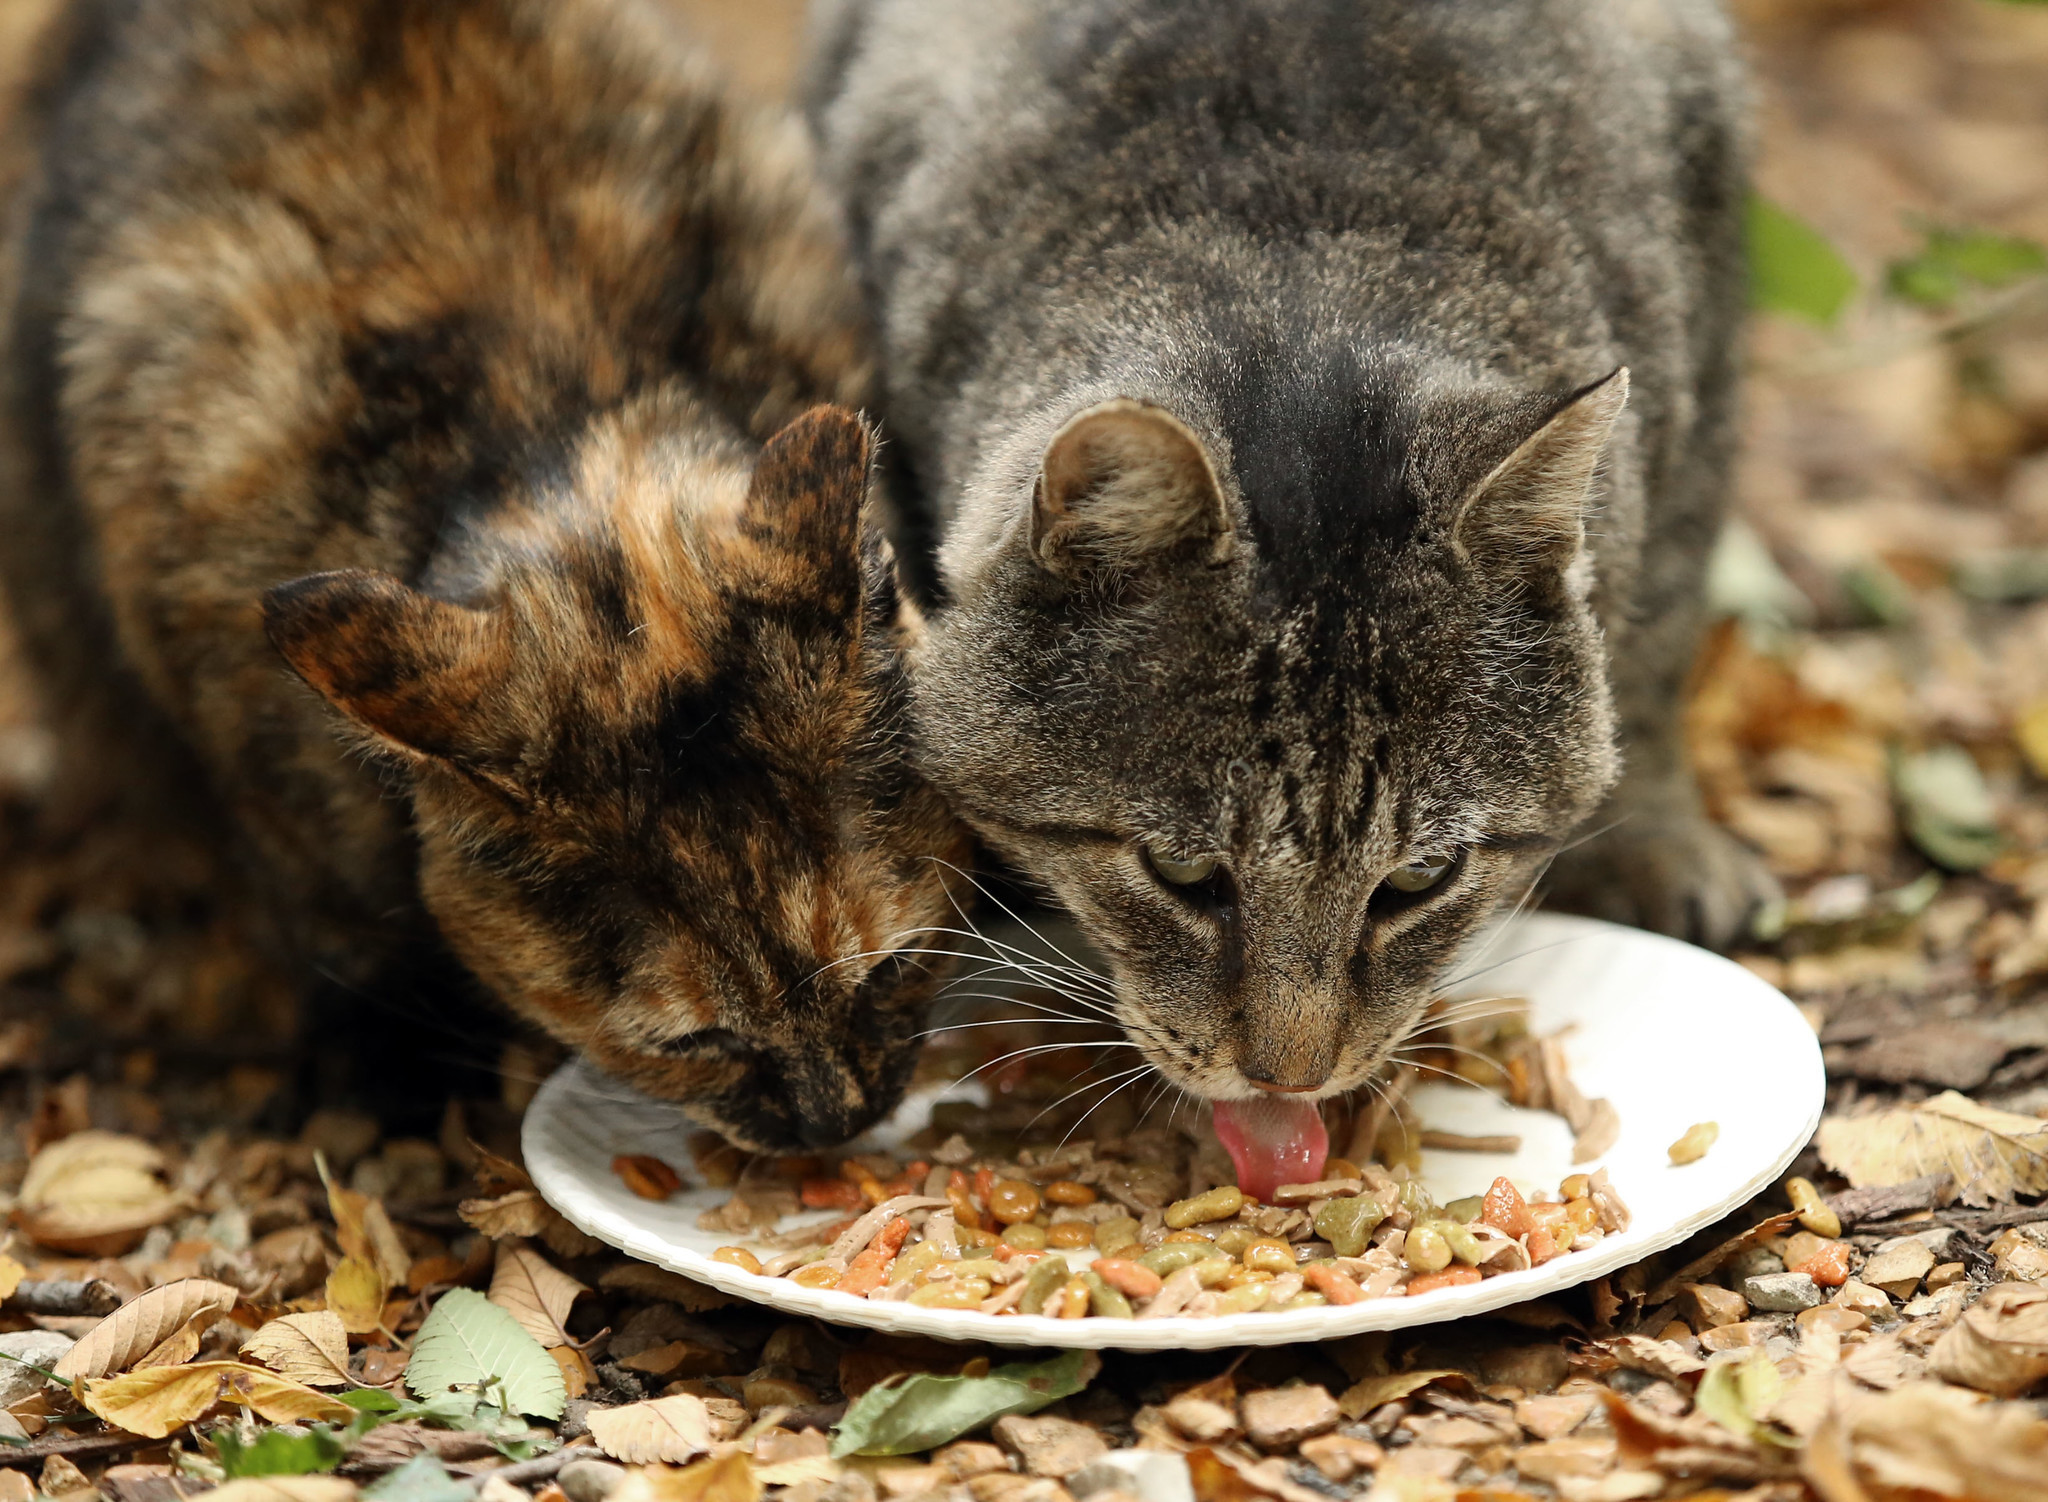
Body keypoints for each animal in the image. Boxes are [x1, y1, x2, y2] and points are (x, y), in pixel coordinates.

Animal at [0, 0, 970, 1139]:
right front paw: (391, 1070)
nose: (836, 1120)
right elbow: (328, 915)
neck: (545, 410)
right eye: (692, 1042)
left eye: (893, 966)